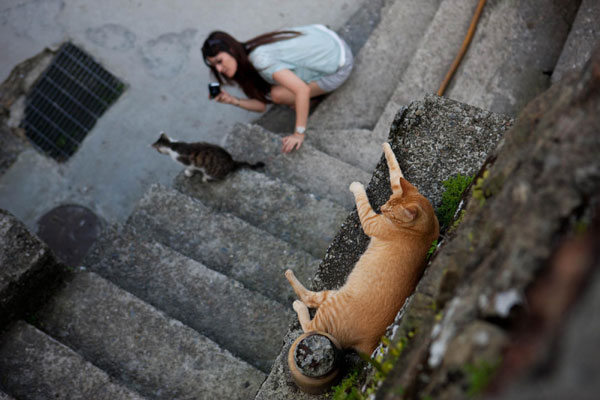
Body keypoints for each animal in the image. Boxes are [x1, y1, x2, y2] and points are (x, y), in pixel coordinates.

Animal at [284, 142, 438, 354]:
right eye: (389, 202)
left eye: (391, 212)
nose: (382, 208)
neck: (424, 231)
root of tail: (369, 344)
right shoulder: (401, 187)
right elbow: (395, 171)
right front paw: (387, 147)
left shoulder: (369, 220)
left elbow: (362, 201)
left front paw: (356, 186)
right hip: (334, 294)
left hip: (331, 307)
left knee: (309, 317)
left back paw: (291, 284)